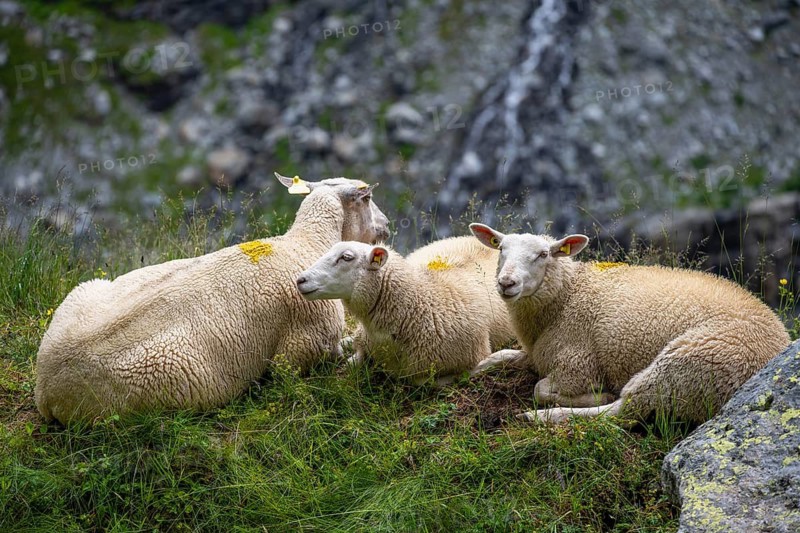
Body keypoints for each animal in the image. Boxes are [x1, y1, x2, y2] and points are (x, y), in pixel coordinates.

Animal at [34, 173, 390, 424]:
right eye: (368, 197)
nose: (387, 226)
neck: (306, 242)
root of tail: (46, 390)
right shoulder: (306, 346)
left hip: (85, 291)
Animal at [469, 223, 790, 424]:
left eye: (543, 254)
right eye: (501, 249)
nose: (506, 283)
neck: (567, 296)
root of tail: (781, 338)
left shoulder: (577, 365)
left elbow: (540, 388)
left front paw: (589, 395)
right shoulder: (536, 352)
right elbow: (496, 357)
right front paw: (472, 370)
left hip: (688, 365)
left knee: (623, 410)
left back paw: (544, 416)